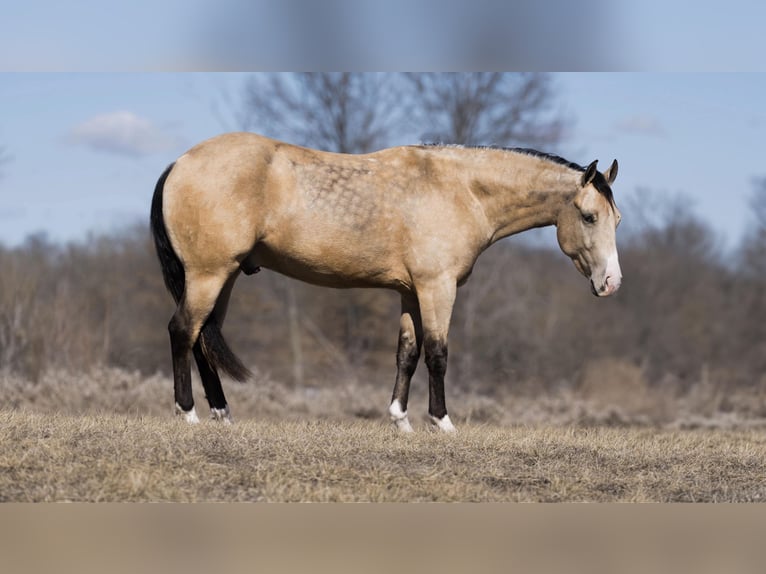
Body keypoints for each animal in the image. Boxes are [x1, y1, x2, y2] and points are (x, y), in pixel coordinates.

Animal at [152, 133, 624, 434]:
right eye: (589, 217)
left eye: (616, 219)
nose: (611, 282)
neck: (461, 190)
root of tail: (180, 163)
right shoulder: (437, 287)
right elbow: (437, 354)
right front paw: (442, 422)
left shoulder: (410, 292)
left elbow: (407, 355)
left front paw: (401, 419)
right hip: (209, 274)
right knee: (182, 330)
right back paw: (188, 413)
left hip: (224, 277)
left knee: (203, 337)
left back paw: (222, 413)